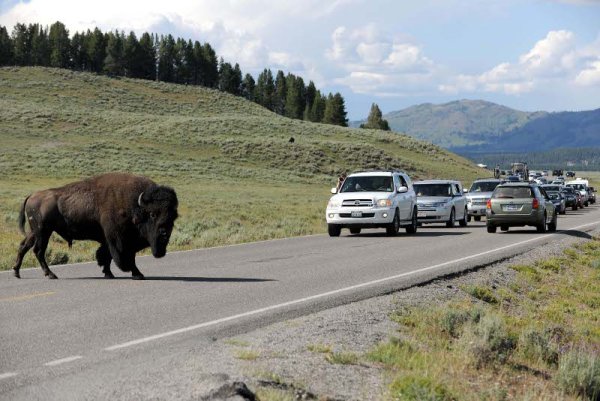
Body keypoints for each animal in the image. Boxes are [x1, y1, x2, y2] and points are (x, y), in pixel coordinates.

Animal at [12, 172, 178, 278]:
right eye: (153, 214)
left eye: (174, 216)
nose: (164, 233)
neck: (135, 205)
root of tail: (32, 195)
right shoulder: (119, 240)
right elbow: (124, 257)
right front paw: (137, 274)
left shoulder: (108, 240)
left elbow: (106, 256)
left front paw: (108, 273)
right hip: (43, 231)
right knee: (39, 251)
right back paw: (51, 275)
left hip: (35, 232)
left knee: (24, 246)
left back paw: (17, 272)